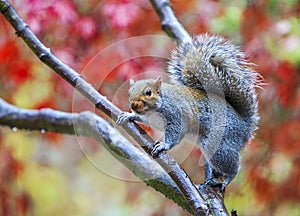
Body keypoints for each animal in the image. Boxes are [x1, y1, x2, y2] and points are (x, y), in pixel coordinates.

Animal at [116, 33, 260, 189]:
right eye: (129, 93)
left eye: (148, 92)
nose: (133, 105)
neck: (152, 112)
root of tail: (245, 126)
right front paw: (128, 115)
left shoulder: (175, 114)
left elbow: (175, 132)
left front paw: (164, 145)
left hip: (219, 143)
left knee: (233, 166)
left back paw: (227, 179)